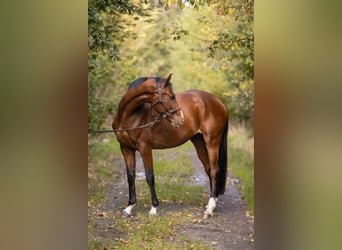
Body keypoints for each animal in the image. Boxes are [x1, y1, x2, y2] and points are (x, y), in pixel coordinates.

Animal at [113, 73, 228, 217]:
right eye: (171, 96)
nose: (180, 119)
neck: (130, 116)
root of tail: (220, 103)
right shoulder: (126, 148)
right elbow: (130, 176)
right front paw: (129, 208)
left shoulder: (145, 148)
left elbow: (150, 176)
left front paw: (154, 208)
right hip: (199, 142)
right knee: (208, 169)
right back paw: (213, 201)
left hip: (212, 142)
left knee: (213, 170)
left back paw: (210, 208)